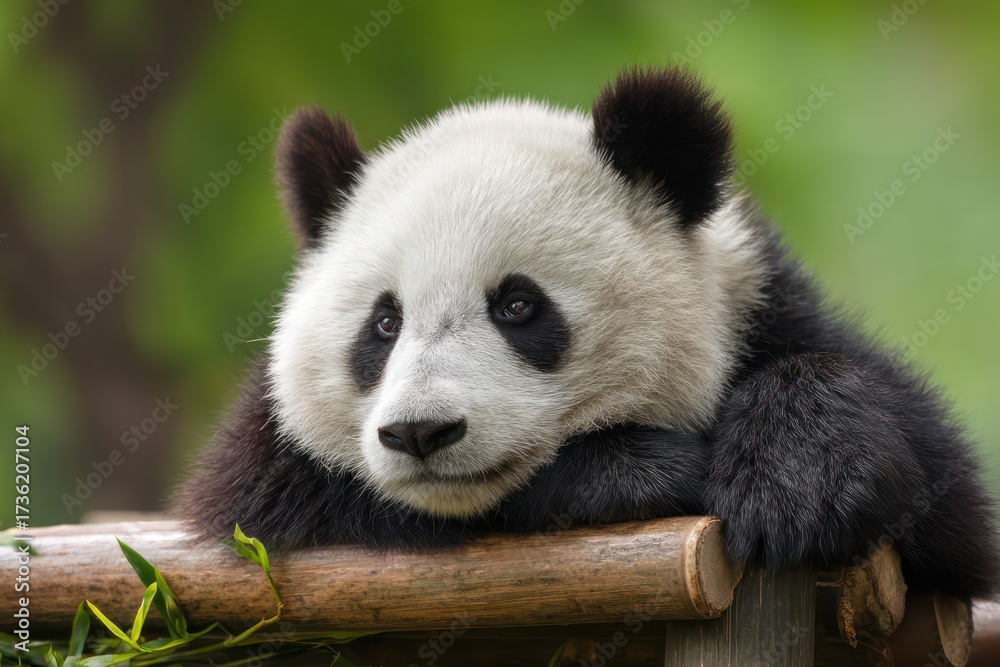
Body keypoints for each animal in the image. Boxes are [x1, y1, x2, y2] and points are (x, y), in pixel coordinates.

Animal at [177, 66, 998, 601]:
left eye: (517, 306)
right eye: (383, 323)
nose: (420, 433)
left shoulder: (762, 306)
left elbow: (948, 508)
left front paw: (800, 480)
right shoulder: (273, 479)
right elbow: (274, 500)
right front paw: (654, 469)